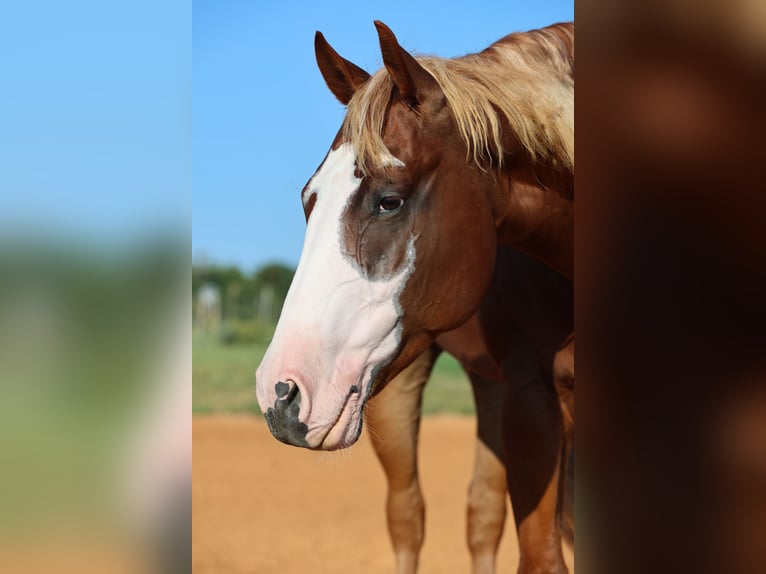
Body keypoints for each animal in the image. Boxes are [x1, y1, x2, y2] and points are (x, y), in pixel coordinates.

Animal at [255, 22, 574, 574]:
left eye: (389, 200)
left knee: (481, 516)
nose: (281, 392)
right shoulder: (532, 399)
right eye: (308, 199)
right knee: (408, 516)